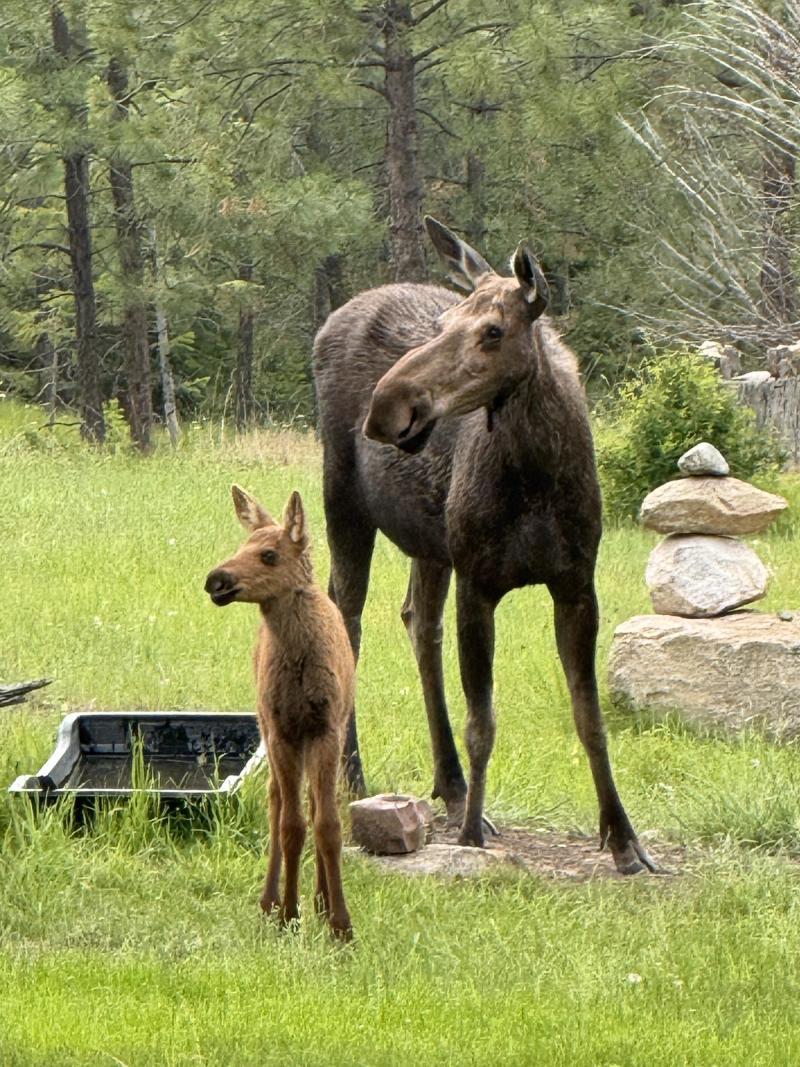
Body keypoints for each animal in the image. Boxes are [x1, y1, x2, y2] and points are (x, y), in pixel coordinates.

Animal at [205, 486, 354, 939]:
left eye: (269, 554)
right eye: (242, 546)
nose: (215, 580)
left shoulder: (326, 726)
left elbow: (328, 823)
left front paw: (339, 923)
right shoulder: (281, 728)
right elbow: (291, 825)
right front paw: (290, 913)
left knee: (317, 803)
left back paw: (320, 899)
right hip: (265, 725)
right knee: (275, 803)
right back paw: (270, 900)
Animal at [313, 216, 655, 876]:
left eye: (493, 331)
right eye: (444, 323)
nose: (386, 406)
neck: (538, 476)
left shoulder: (577, 586)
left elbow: (591, 719)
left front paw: (624, 839)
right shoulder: (480, 582)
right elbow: (484, 721)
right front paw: (471, 838)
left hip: (430, 542)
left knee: (418, 620)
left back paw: (449, 786)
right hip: (342, 500)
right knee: (346, 614)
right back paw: (353, 776)